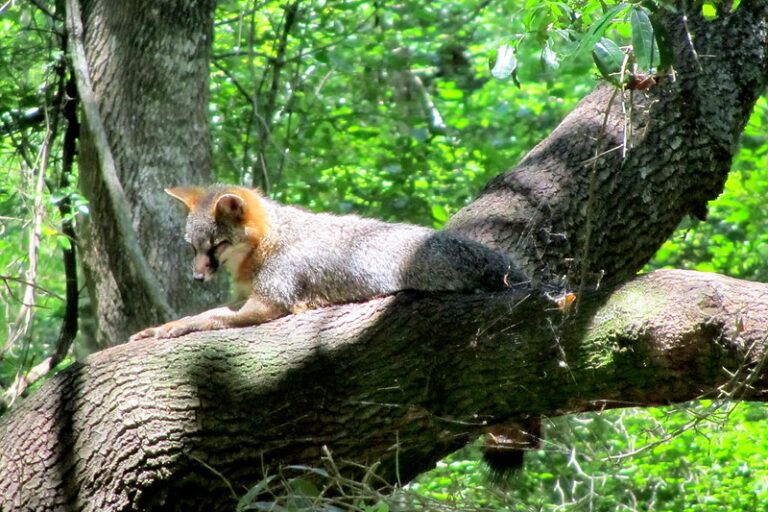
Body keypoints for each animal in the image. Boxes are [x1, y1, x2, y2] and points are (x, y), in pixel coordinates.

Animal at [129, 185, 527, 340]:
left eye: (216, 246)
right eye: (192, 248)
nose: (197, 278)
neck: (271, 241)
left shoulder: (269, 303)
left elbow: (209, 316)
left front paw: (168, 328)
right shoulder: (247, 297)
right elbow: (207, 312)